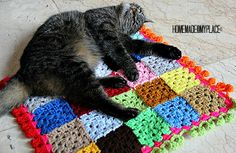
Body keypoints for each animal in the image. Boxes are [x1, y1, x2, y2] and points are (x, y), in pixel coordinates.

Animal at [0, 2, 182, 120]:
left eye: (136, 18)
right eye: (136, 14)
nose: (135, 8)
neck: (116, 20)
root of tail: (22, 73)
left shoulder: (121, 40)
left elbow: (146, 45)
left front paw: (171, 51)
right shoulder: (107, 34)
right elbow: (122, 54)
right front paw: (131, 69)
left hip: (79, 68)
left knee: (86, 93)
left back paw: (115, 81)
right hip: (75, 67)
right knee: (94, 99)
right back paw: (125, 112)